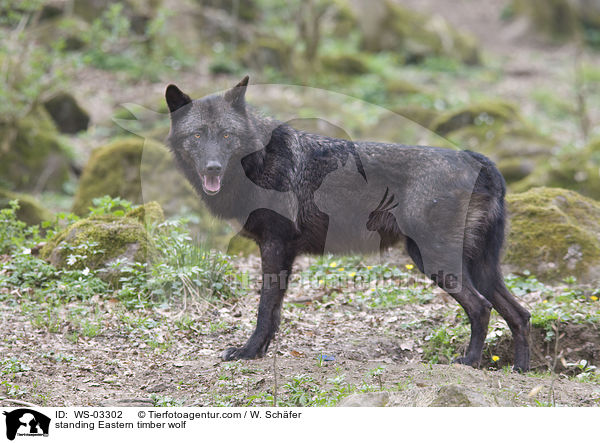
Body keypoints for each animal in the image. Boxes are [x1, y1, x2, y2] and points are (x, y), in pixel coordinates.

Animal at [164, 75, 528, 372]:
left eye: (227, 135)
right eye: (197, 135)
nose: (212, 167)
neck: (259, 161)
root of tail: (478, 159)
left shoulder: (275, 246)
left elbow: (265, 309)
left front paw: (248, 352)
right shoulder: (281, 251)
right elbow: (275, 312)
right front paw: (261, 351)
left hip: (434, 261)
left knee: (481, 308)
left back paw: (470, 362)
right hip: (481, 268)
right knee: (520, 313)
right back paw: (521, 369)